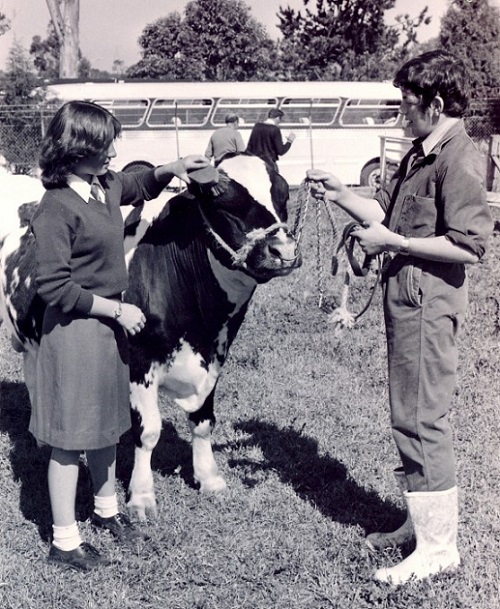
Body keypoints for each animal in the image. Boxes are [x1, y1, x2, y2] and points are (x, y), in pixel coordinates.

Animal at [0, 153, 300, 516]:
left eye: (283, 194)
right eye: (221, 200)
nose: (283, 251)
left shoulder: (215, 356)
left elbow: (203, 421)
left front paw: (209, 478)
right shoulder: (139, 362)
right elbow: (148, 431)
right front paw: (142, 495)